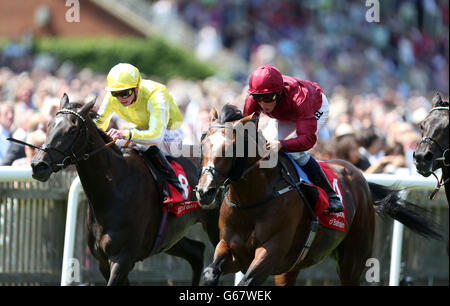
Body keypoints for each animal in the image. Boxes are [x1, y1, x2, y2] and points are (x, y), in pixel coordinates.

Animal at [28, 94, 220, 286]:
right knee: (196, 252)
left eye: (72, 130)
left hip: (214, 227)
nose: (39, 165)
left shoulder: (122, 259)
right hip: (170, 237)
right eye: (49, 125)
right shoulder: (104, 262)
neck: (114, 189)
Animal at [196, 104, 440, 284]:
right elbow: (209, 273)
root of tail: (357, 174)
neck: (252, 200)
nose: (204, 191)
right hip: (291, 267)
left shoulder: (271, 252)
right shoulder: (231, 248)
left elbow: (247, 281)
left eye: (230, 148)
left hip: (354, 258)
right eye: (203, 143)